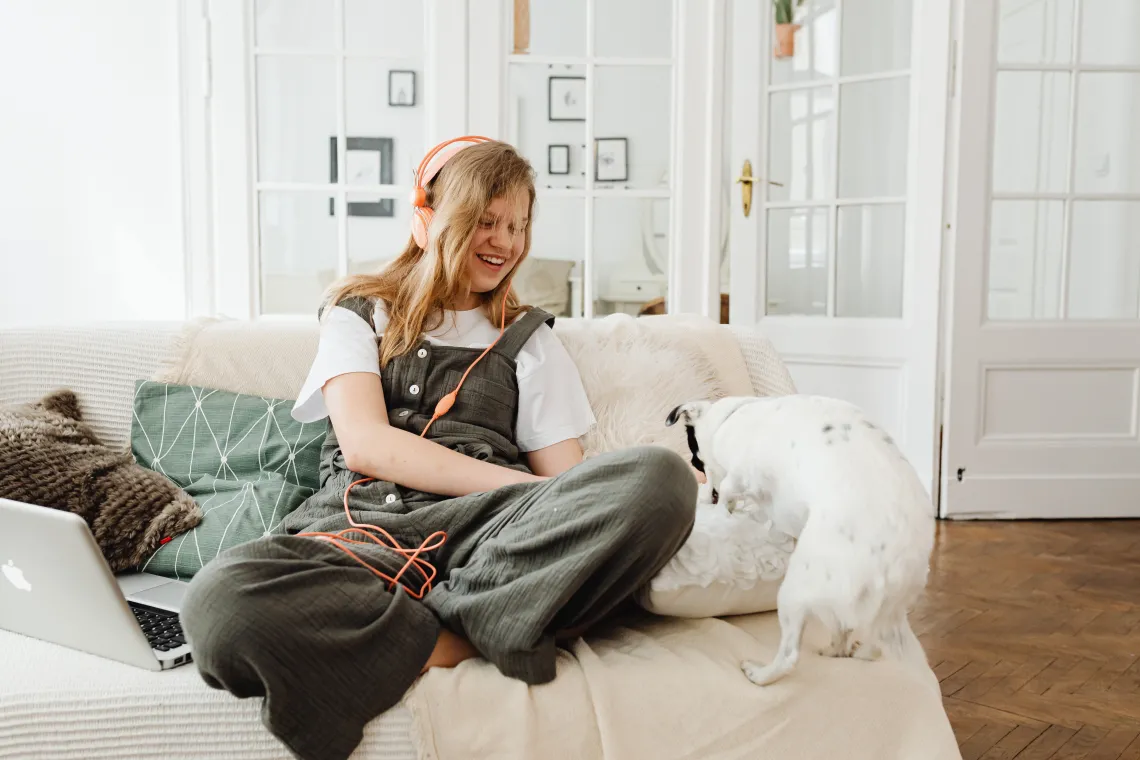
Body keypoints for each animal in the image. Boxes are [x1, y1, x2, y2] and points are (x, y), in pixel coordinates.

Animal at [665, 396, 930, 688]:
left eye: (695, 460)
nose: (704, 491)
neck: (730, 417)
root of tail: (896, 565)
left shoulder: (739, 478)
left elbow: (727, 493)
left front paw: (720, 505)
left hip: (795, 589)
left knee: (791, 655)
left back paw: (759, 674)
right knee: (861, 642)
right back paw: (840, 650)